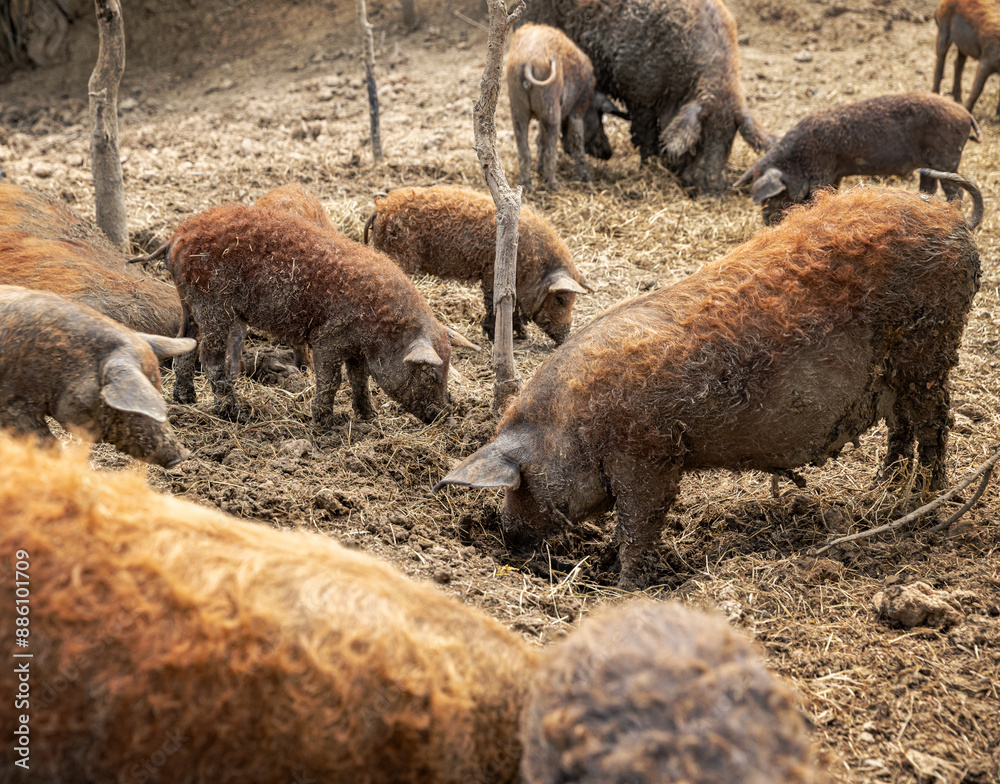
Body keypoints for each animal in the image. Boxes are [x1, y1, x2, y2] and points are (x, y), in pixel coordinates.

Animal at [155, 204, 477, 425]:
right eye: (431, 374)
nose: (446, 418)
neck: (383, 328)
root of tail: (176, 237)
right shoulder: (327, 340)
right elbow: (332, 381)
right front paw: (323, 422)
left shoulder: (355, 350)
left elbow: (360, 381)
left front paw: (370, 418)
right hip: (212, 306)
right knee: (210, 360)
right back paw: (235, 415)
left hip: (188, 303)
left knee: (185, 346)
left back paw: (185, 399)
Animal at [364, 185, 590, 344]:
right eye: (560, 299)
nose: (564, 338)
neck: (534, 264)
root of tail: (380, 209)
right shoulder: (491, 275)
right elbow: (494, 305)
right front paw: (497, 338)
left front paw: (524, 336)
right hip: (399, 256)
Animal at [436, 175, 982, 586]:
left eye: (519, 483)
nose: (507, 535)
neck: (572, 427)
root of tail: (952, 218)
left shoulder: (650, 456)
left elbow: (639, 525)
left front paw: (626, 584)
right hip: (896, 375)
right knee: (901, 430)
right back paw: (883, 491)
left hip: (929, 350)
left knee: (934, 425)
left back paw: (923, 503)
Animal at [506, 23, 628, 191]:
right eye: (600, 117)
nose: (609, 152)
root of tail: (528, 62)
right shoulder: (578, 109)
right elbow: (577, 140)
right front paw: (586, 180)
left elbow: (540, 139)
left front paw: (539, 171)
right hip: (550, 102)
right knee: (551, 149)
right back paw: (554, 186)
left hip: (518, 106)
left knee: (524, 149)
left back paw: (526, 187)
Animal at [734, 92, 982, 225]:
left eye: (775, 195)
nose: (767, 219)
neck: (797, 159)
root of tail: (966, 114)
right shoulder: (834, 174)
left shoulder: (821, 170)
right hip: (929, 164)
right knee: (929, 187)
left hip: (947, 158)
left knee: (954, 191)